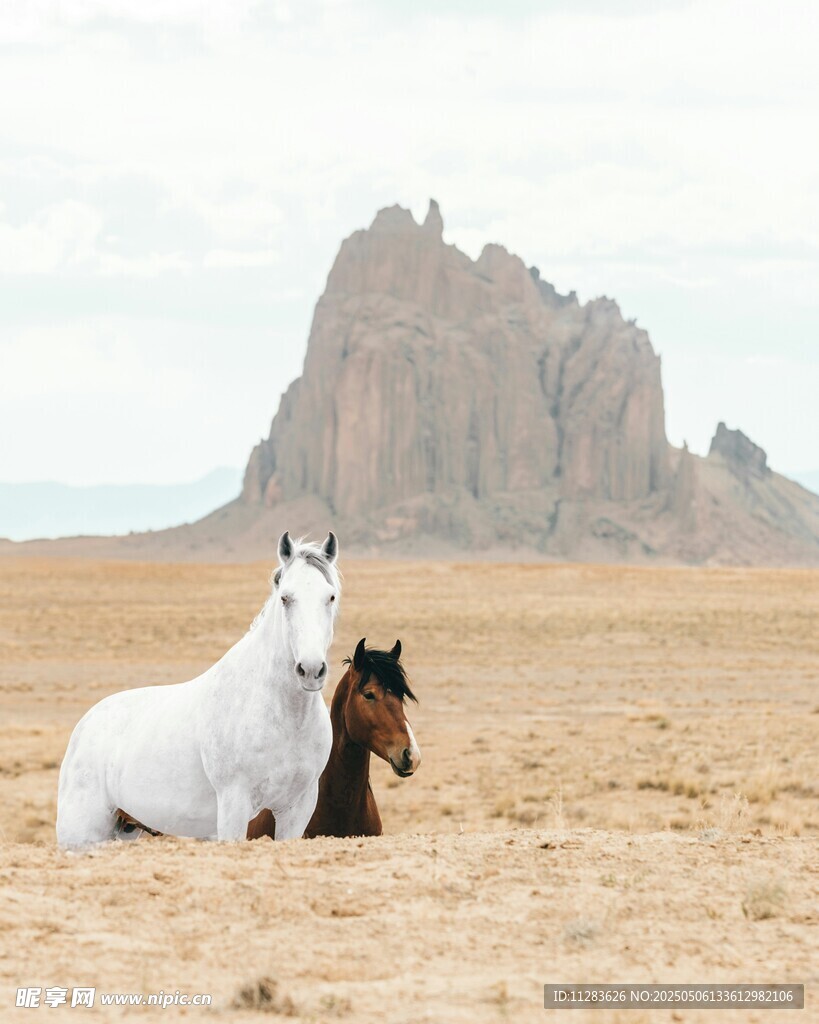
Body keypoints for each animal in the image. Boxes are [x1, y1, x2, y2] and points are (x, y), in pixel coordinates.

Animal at [56, 532, 340, 849]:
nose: (311, 669)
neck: (281, 714)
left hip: (124, 828)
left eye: (330, 596)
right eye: (285, 598)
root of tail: (84, 726)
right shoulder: (233, 803)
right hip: (81, 835)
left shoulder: (297, 807)